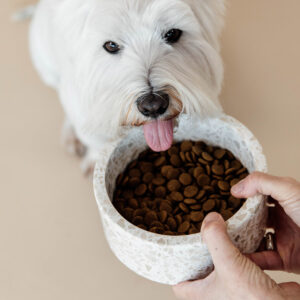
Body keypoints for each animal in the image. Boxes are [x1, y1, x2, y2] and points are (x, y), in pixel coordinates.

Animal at [29, 0, 225, 172]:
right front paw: (95, 159)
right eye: (110, 45)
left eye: (172, 34)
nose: (153, 106)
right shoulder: (78, 99)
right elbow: (93, 136)